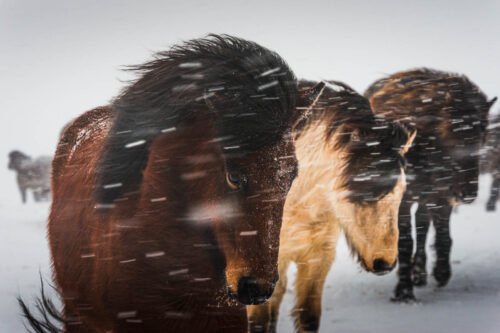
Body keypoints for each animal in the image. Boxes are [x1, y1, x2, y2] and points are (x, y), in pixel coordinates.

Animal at [364, 67, 496, 300]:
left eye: (481, 136)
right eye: (451, 135)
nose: (467, 194)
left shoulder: (442, 196)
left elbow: (442, 235)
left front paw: (441, 273)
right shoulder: (403, 200)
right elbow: (405, 241)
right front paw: (404, 291)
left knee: (423, 226)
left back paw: (420, 272)